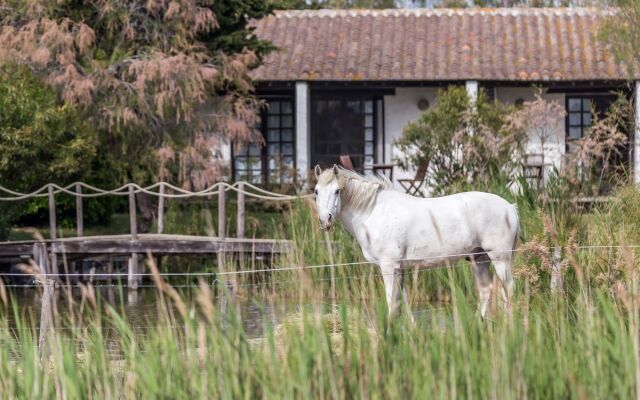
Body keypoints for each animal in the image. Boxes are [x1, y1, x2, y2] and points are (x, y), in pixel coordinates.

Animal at [316, 164, 520, 318]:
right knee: (485, 290)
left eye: (337, 191)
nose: (325, 221)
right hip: (480, 259)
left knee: (508, 289)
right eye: (316, 191)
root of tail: (510, 207)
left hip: (500, 259)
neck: (375, 211)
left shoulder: (388, 266)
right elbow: (404, 303)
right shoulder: (400, 269)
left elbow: (391, 302)